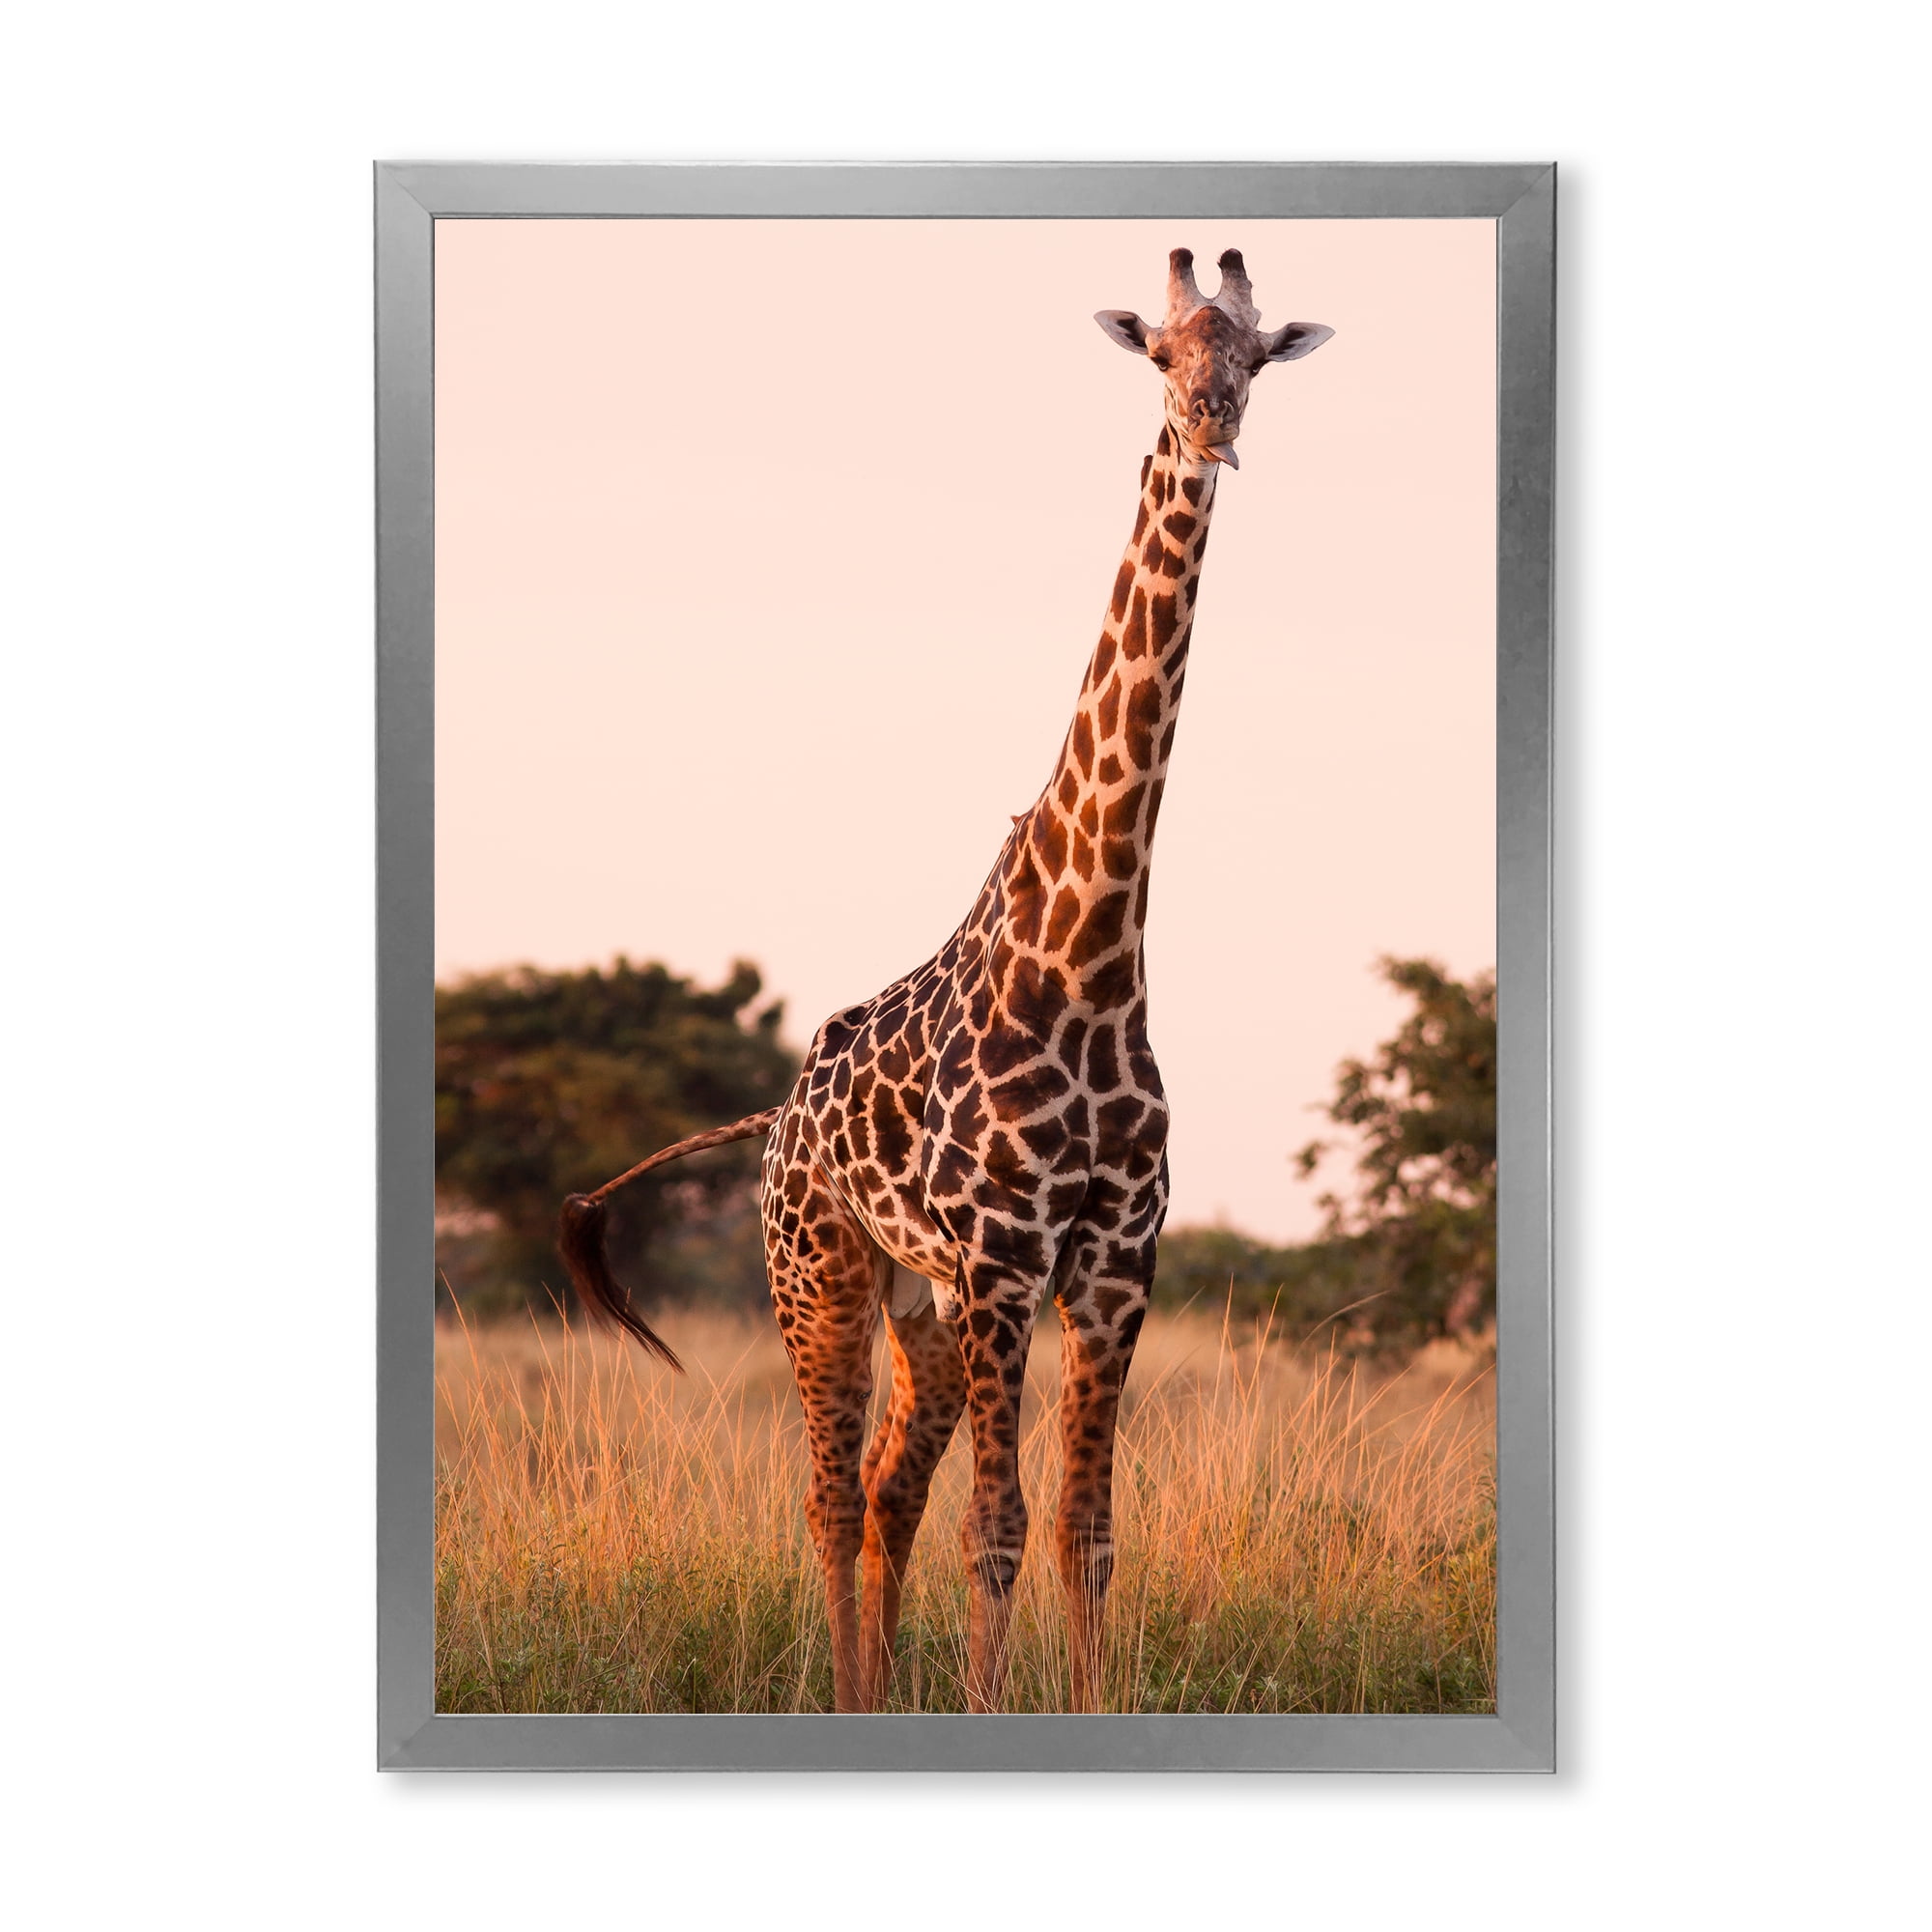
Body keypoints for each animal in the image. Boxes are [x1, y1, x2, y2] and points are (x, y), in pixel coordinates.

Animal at [560, 248, 1332, 1713]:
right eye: (1163, 355)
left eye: (1257, 356)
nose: (1212, 427)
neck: (1090, 958)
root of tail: (777, 1117)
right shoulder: (1002, 1259)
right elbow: (1001, 1526)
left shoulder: (1113, 1263)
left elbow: (1086, 1531)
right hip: (822, 1273)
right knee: (829, 1495)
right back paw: (849, 1696)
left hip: (916, 1306)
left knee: (881, 1492)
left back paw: (872, 1691)